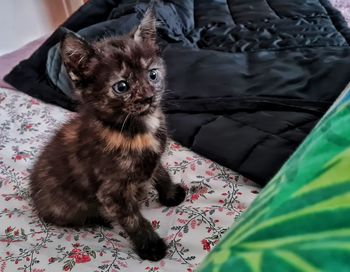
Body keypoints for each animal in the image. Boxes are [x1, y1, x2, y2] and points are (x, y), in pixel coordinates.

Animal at [29, 10, 187, 262]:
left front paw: (170, 194)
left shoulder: (153, 159)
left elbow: (161, 172)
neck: (137, 130)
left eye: (153, 74)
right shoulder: (112, 193)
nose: (149, 97)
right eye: (121, 87)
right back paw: (99, 219)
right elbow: (133, 220)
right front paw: (151, 246)